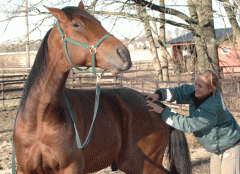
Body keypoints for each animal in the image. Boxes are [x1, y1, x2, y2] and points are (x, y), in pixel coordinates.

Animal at [13, 1, 191, 173]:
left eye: (98, 22)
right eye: (77, 24)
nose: (124, 54)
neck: (40, 120)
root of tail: (158, 105)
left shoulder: (71, 168)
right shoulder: (24, 170)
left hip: (142, 164)